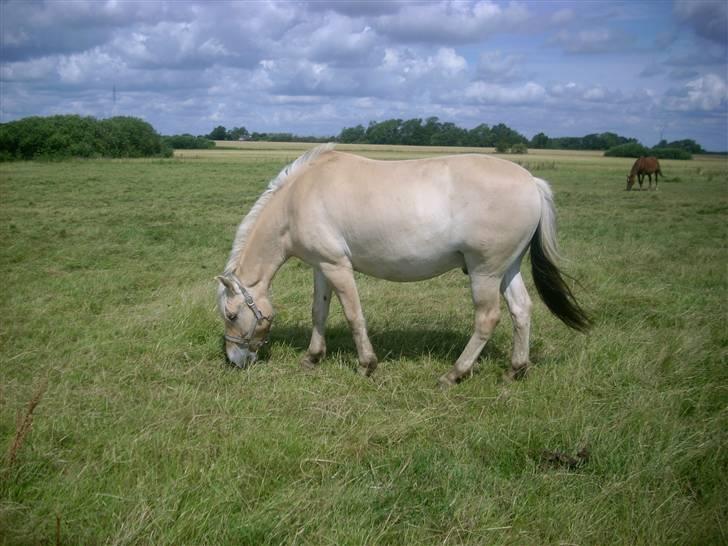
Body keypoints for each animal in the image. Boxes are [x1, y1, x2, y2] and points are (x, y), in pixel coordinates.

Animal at [218, 142, 592, 384]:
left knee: (488, 318)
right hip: (507, 269)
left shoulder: (338, 266)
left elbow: (353, 315)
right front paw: (312, 358)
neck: (298, 198)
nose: (233, 360)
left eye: (232, 315)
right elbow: (319, 312)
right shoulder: (321, 266)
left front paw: (367, 365)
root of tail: (533, 182)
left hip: (485, 272)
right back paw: (516, 369)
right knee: (521, 310)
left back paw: (455, 373)